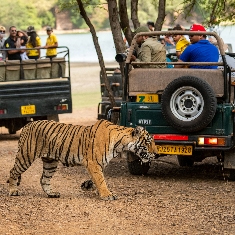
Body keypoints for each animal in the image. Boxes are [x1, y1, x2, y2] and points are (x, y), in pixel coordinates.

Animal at [8, 119, 157, 200]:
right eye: (148, 142)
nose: (156, 154)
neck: (120, 145)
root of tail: (28, 125)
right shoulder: (93, 163)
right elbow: (101, 180)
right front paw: (106, 194)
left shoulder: (99, 164)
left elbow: (98, 179)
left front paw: (91, 187)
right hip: (26, 156)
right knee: (13, 172)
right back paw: (13, 191)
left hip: (50, 162)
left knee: (44, 179)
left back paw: (52, 194)